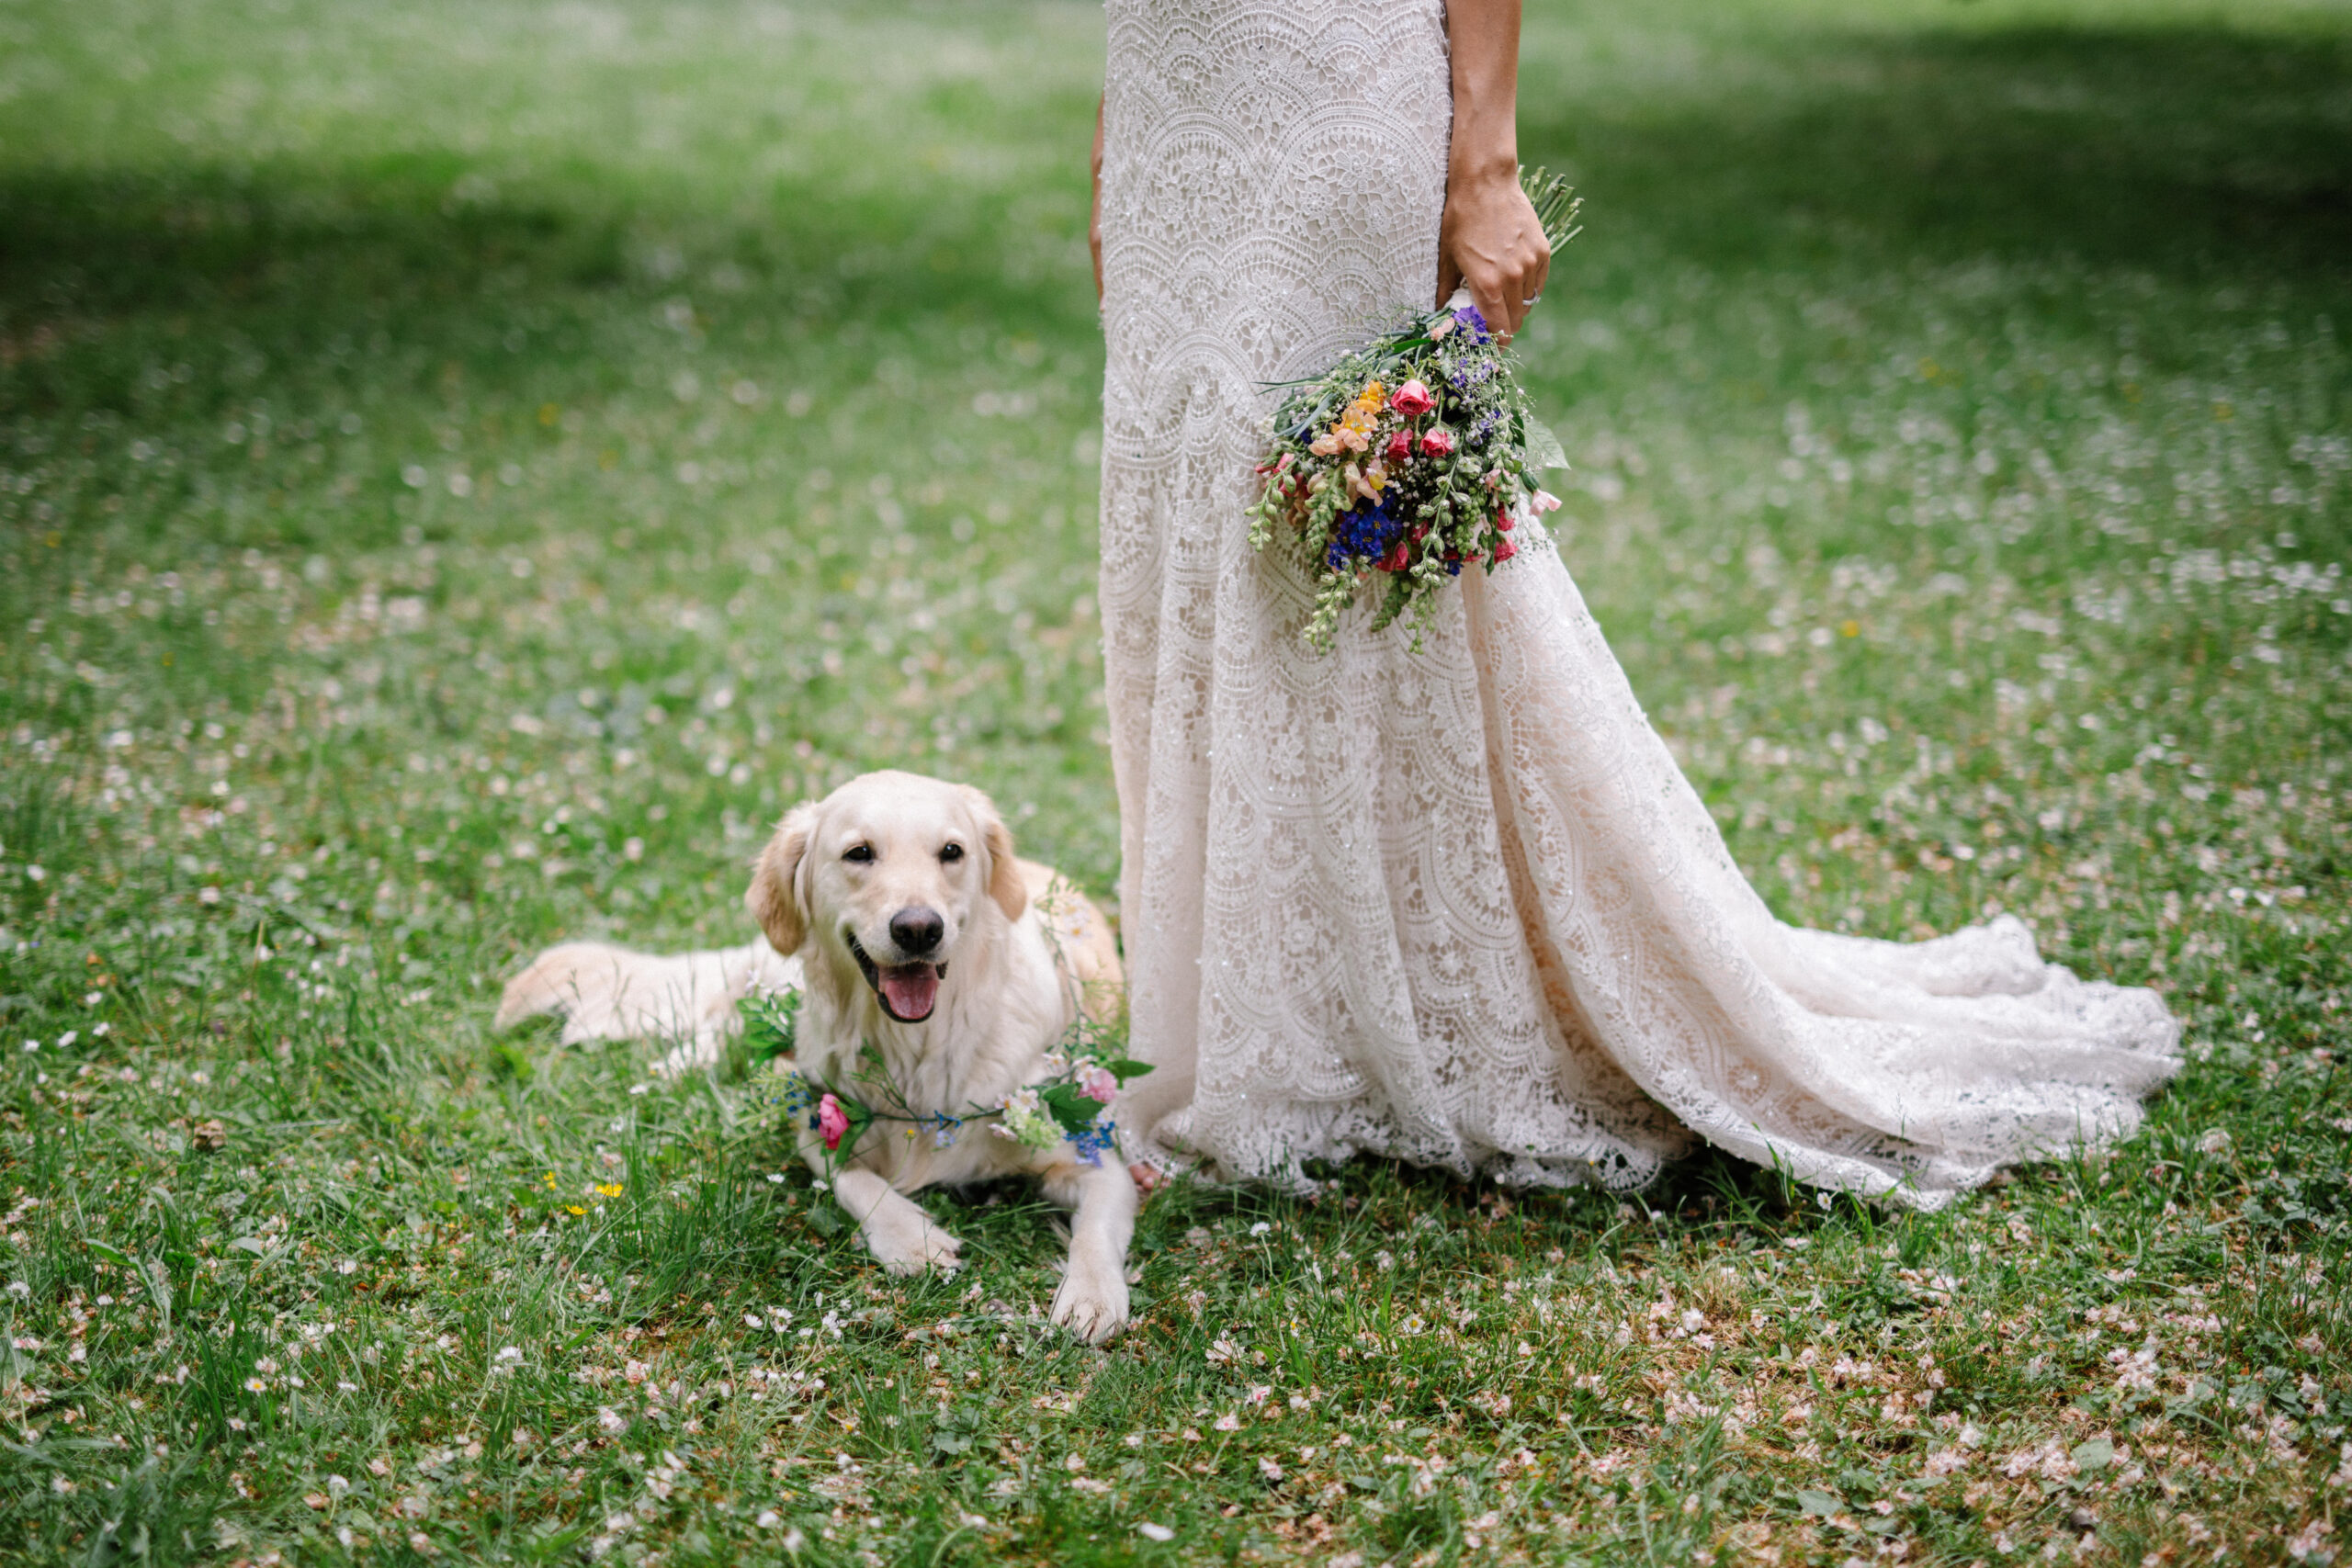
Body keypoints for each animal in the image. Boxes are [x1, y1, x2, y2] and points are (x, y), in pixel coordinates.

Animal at [492, 766, 1133, 1344]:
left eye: (952, 852)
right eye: (859, 853)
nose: (918, 929)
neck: (917, 1050)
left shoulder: (1093, 1154)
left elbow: (1097, 1231)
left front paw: (1091, 1298)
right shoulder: (817, 1116)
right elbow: (854, 1180)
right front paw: (914, 1239)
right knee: (726, 1016)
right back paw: (677, 1064)